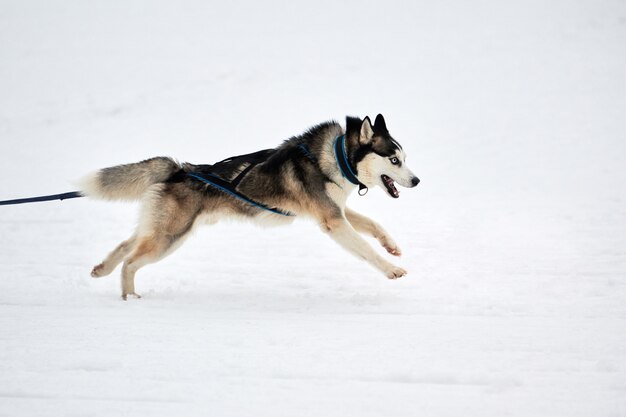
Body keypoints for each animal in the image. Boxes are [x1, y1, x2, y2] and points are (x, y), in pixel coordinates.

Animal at [79, 115, 420, 298]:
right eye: (394, 160)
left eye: (404, 159)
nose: (417, 180)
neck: (334, 157)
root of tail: (179, 169)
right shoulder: (332, 221)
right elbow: (365, 249)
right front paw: (391, 269)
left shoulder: (335, 211)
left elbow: (374, 225)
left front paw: (391, 246)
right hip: (169, 238)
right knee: (131, 261)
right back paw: (130, 297)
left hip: (164, 230)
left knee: (126, 245)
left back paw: (102, 269)